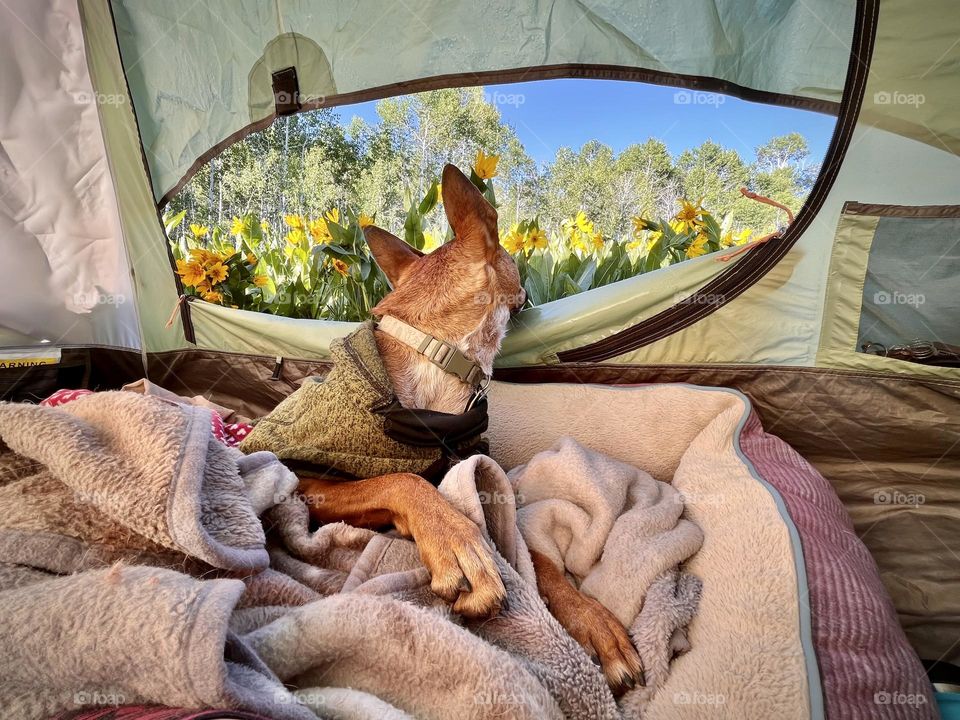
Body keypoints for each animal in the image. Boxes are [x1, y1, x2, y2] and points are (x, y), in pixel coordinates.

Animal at [244, 163, 640, 692]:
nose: (531, 295)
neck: (436, 357)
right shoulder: (299, 477)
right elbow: (403, 480)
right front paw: (455, 540)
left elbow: (535, 559)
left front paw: (592, 620)